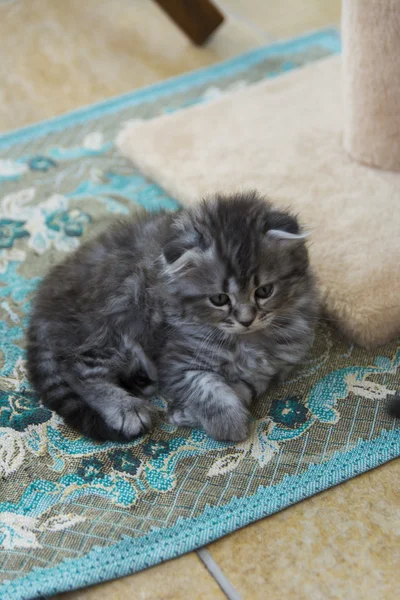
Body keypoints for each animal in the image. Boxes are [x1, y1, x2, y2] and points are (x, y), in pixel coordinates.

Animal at [26, 192, 318, 440]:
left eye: (265, 291)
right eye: (219, 299)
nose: (246, 319)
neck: (248, 341)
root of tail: (44, 301)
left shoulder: (271, 369)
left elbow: (243, 389)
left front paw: (189, 413)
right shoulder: (177, 359)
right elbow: (208, 391)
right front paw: (229, 425)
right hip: (116, 316)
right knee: (77, 368)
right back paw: (127, 408)